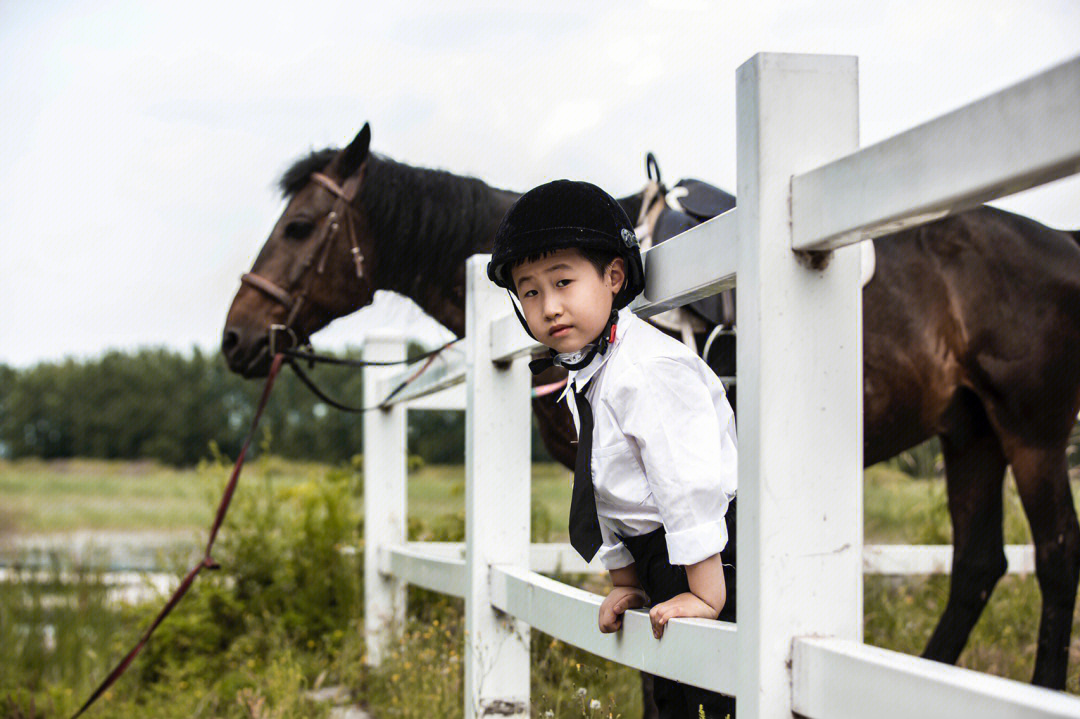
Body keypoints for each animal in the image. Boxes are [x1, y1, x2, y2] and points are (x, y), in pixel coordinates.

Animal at [221, 123, 1080, 690]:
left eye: (300, 225)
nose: (237, 338)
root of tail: (1060, 242)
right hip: (968, 432)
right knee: (978, 564)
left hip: (1031, 430)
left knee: (1055, 554)